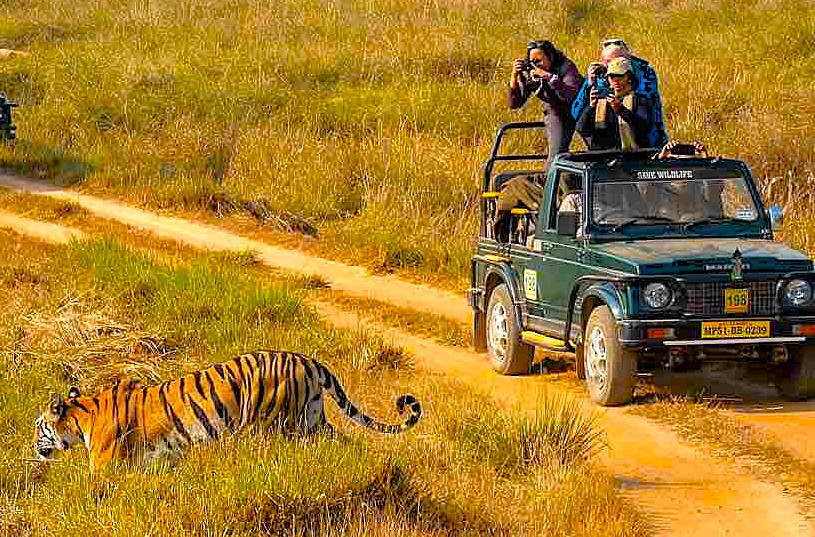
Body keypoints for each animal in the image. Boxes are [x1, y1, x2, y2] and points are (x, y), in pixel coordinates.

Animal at [33, 350, 422, 473]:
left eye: (38, 427)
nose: (33, 445)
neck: (82, 416)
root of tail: (307, 360)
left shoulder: (104, 467)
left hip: (274, 425)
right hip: (312, 420)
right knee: (344, 442)